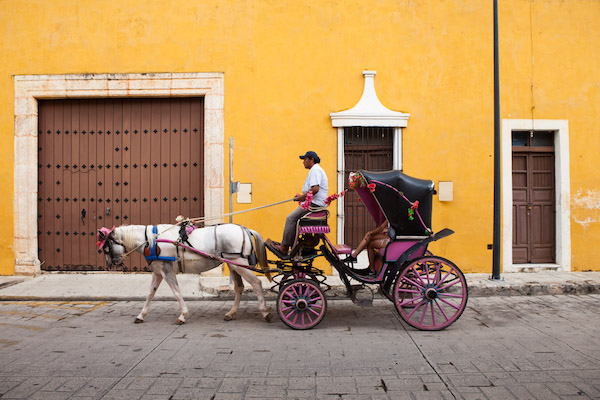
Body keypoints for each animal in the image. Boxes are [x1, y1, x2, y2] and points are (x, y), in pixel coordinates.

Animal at [98, 225, 272, 324]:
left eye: (105, 248)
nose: (111, 264)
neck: (152, 241)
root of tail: (245, 229)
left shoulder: (167, 271)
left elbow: (177, 293)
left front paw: (183, 315)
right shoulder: (158, 272)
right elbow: (150, 294)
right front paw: (141, 315)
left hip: (238, 262)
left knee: (256, 283)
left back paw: (264, 311)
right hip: (233, 263)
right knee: (239, 287)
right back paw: (231, 313)